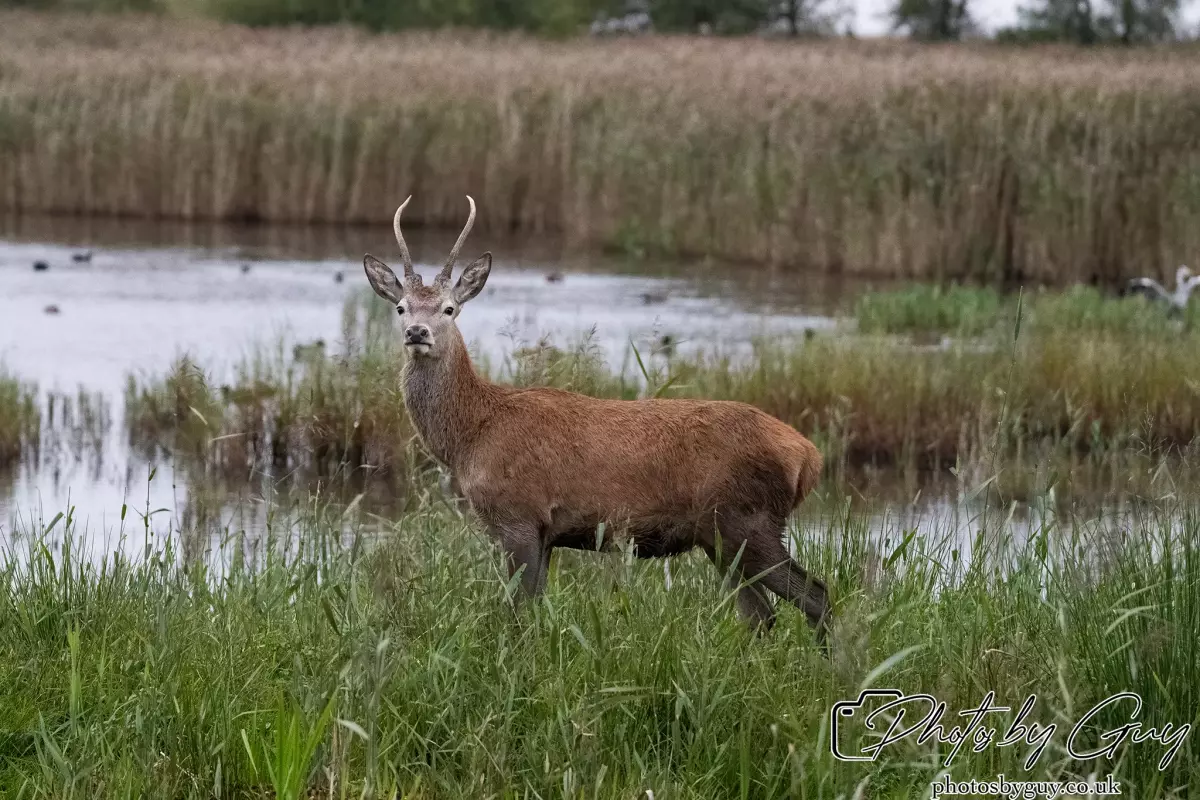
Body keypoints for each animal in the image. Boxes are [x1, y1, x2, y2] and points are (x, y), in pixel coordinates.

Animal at [363, 195, 831, 646]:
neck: (471, 436)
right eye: (401, 308)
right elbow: (534, 608)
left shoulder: (518, 515)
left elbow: (518, 613)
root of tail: (809, 456)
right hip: (720, 535)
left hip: (747, 520)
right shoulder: (546, 532)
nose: (417, 332)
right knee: (761, 615)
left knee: (815, 595)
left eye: (449, 309)